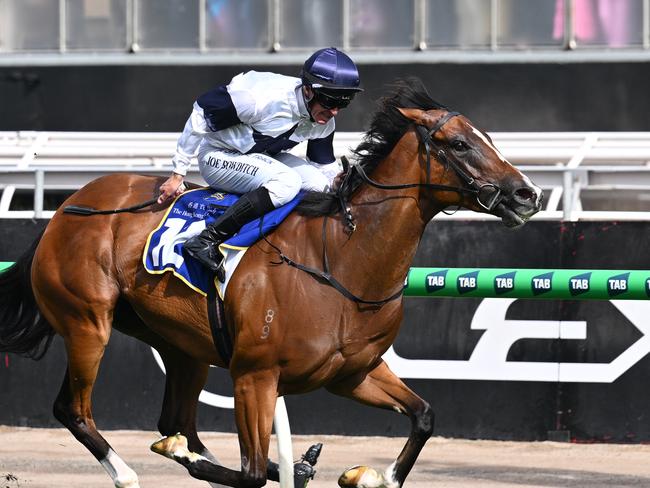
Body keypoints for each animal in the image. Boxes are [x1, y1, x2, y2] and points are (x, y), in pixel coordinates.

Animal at [0, 81, 540, 488]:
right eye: (460, 144)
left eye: (488, 137)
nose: (526, 193)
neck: (341, 262)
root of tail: (63, 211)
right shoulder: (255, 377)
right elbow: (252, 473)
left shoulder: (353, 372)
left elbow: (424, 415)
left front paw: (369, 475)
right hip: (87, 322)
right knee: (75, 410)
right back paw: (132, 472)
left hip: (182, 347)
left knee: (176, 423)